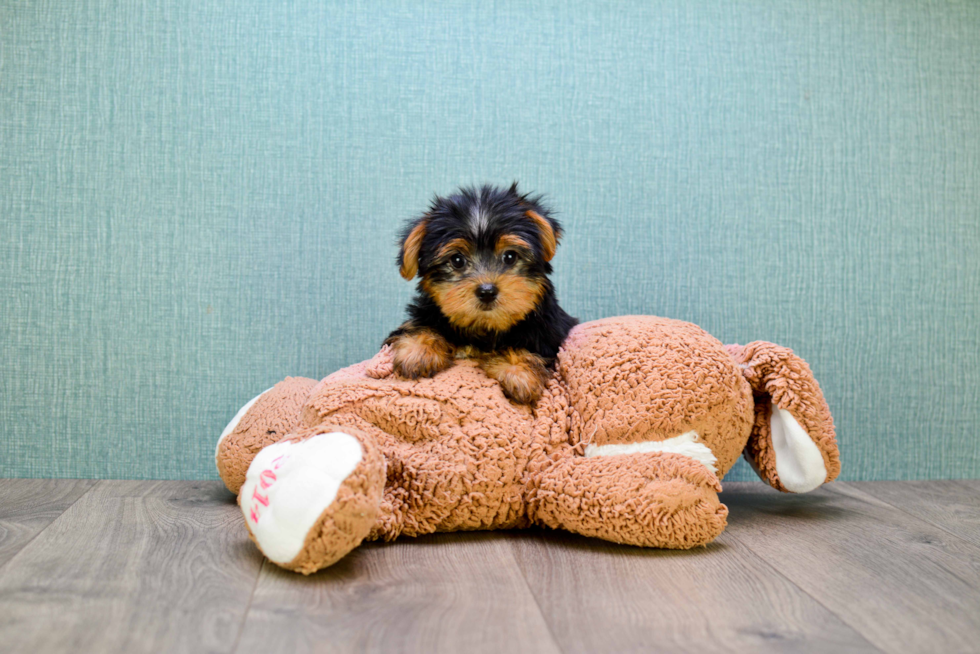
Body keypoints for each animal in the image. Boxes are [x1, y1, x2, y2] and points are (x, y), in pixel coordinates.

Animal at [384, 182, 580, 402]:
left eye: (510, 256)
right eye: (457, 260)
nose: (487, 291)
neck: (484, 326)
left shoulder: (549, 331)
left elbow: (530, 348)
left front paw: (519, 371)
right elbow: (420, 326)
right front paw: (418, 350)